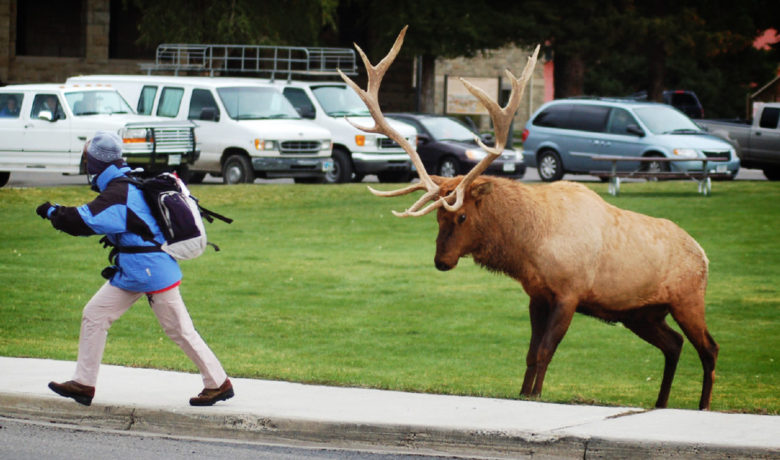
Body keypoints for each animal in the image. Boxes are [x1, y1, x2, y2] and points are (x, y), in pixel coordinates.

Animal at [339, 26, 719, 410]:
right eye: (439, 218)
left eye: (462, 216)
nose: (441, 261)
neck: (531, 247)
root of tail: (704, 255)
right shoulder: (537, 295)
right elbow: (531, 353)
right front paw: (524, 394)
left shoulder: (570, 292)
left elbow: (545, 352)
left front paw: (535, 395)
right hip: (642, 313)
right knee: (674, 344)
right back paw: (661, 403)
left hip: (688, 299)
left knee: (709, 348)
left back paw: (703, 405)